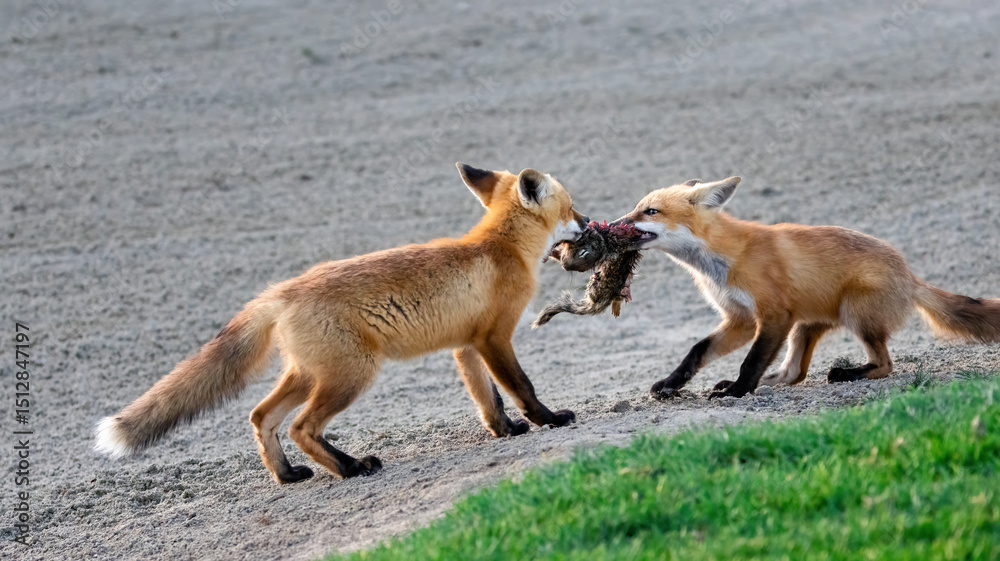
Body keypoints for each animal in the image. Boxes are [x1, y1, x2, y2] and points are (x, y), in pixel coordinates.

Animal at [95, 163, 588, 484]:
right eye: (571, 207)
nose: (587, 221)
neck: (500, 246)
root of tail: (283, 289)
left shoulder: (465, 344)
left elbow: (489, 399)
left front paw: (505, 431)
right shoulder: (494, 337)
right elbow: (521, 387)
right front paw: (549, 420)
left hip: (310, 374)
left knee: (261, 417)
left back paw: (288, 475)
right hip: (351, 374)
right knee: (301, 427)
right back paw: (351, 468)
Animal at [613, 176, 1000, 399]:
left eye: (650, 211)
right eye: (636, 208)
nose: (613, 224)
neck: (724, 260)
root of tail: (910, 275)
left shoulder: (774, 315)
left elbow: (751, 360)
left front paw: (738, 391)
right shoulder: (741, 319)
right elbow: (697, 351)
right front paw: (671, 384)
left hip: (854, 315)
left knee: (885, 364)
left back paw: (847, 374)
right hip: (804, 327)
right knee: (794, 374)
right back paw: (770, 381)